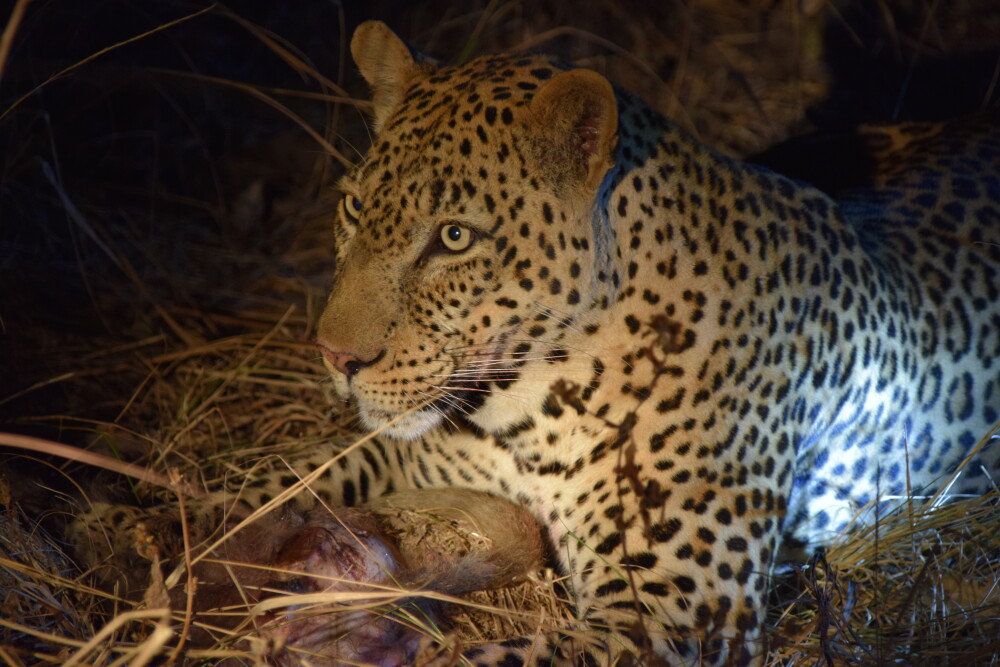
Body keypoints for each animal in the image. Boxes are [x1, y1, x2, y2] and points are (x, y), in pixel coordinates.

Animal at [72, 20, 1000, 666]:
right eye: (353, 208)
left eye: (452, 238)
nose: (336, 358)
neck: (536, 399)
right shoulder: (421, 458)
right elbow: (281, 480)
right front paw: (134, 525)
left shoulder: (666, 618)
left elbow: (508, 656)